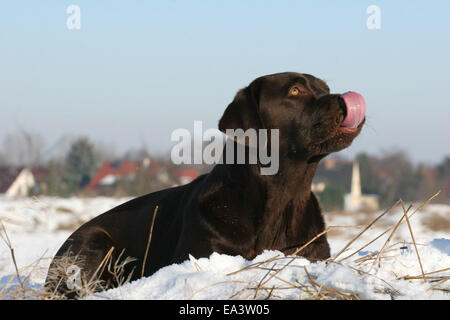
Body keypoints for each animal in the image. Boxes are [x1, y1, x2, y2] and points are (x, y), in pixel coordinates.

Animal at [45, 72, 364, 298]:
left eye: (324, 87)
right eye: (295, 91)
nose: (345, 99)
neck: (284, 193)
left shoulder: (313, 253)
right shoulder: (206, 250)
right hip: (93, 244)